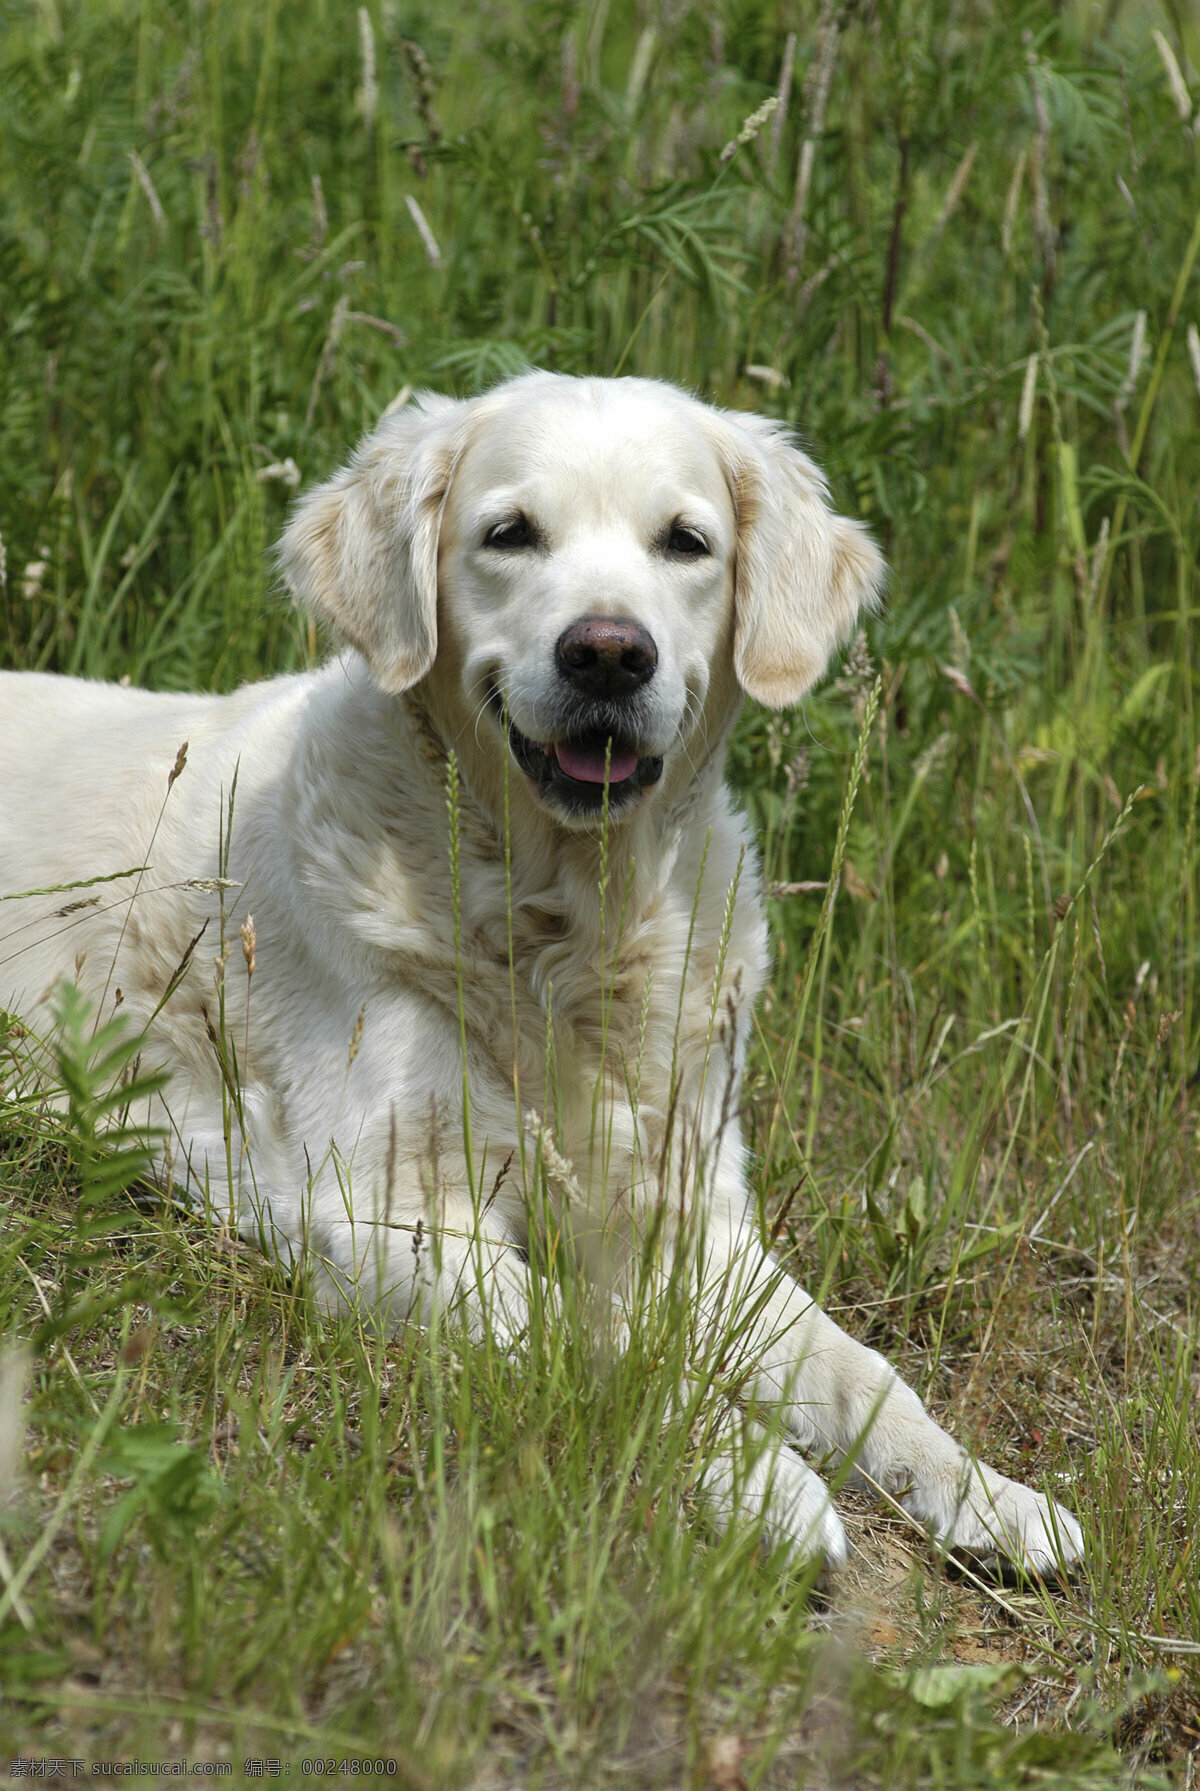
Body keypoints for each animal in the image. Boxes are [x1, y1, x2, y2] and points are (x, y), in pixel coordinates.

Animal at [0, 370, 1088, 1576]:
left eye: (685, 541)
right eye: (510, 533)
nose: (608, 652)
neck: (571, 919)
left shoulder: (691, 1214)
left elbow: (864, 1374)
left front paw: (990, 1491)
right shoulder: (390, 1215)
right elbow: (604, 1342)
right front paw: (764, 1480)